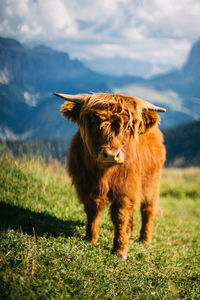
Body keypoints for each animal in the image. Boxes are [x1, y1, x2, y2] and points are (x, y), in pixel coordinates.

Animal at [53, 92, 166, 258]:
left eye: (129, 126)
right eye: (94, 121)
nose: (111, 155)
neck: (104, 176)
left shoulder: (125, 189)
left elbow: (120, 216)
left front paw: (120, 249)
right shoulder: (85, 185)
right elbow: (92, 211)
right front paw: (91, 238)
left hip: (152, 184)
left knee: (148, 209)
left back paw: (144, 239)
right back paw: (130, 232)